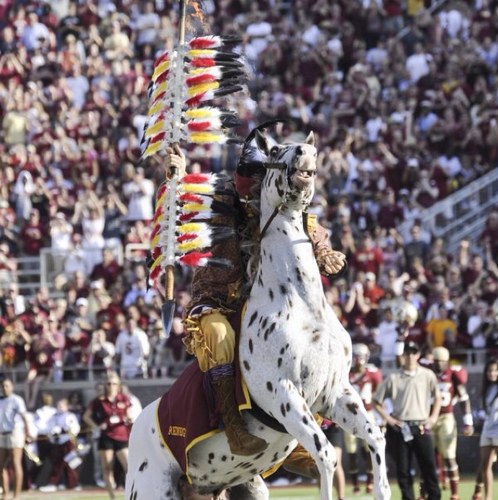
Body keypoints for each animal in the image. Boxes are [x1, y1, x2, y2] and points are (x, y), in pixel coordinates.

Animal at [126, 131, 392, 498]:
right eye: (277, 150)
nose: (306, 152)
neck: (300, 304)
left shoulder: (337, 394)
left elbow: (375, 437)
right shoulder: (283, 394)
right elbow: (326, 454)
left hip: (245, 486)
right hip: (153, 489)